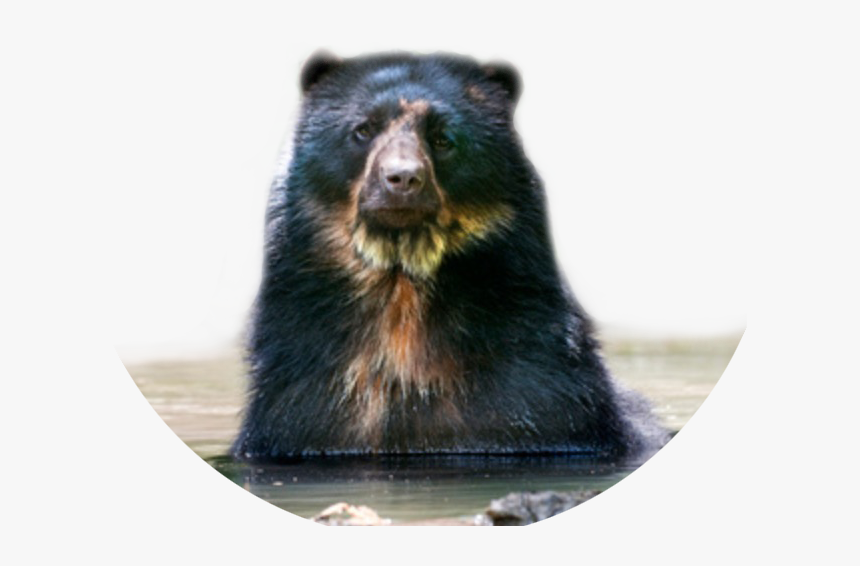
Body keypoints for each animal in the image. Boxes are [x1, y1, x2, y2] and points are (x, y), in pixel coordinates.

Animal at [231, 51, 669, 461]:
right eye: (363, 130)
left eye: (443, 139)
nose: (402, 178)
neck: (401, 291)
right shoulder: (303, 391)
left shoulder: (537, 381)